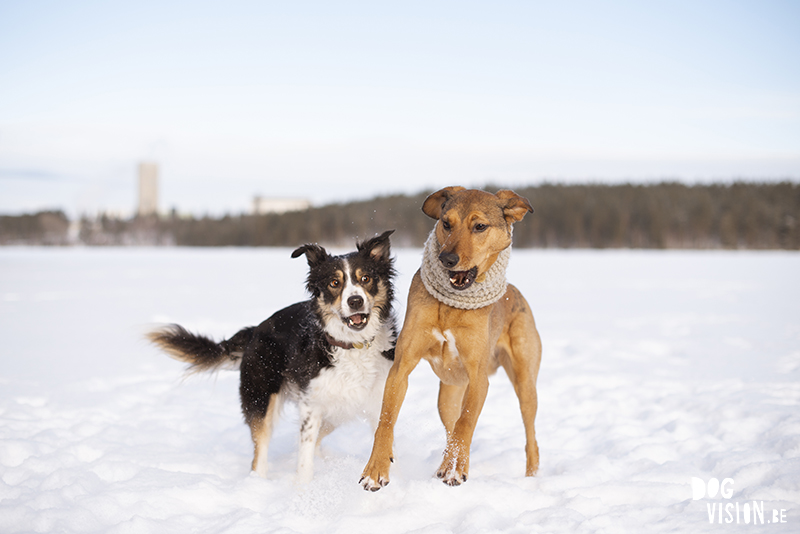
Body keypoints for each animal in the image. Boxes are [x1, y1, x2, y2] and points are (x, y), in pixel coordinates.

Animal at [148, 232, 396, 484]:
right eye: (334, 283)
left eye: (365, 278)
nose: (355, 301)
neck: (354, 346)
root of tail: (255, 330)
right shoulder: (311, 404)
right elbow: (304, 458)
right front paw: (303, 488)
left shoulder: (378, 400)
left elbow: (382, 439)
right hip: (262, 398)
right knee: (260, 452)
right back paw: (258, 483)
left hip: (335, 410)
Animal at [362, 186, 544, 492]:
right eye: (446, 223)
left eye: (480, 226)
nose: (447, 258)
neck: (452, 306)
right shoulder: (402, 367)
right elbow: (386, 419)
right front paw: (376, 468)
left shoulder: (479, 377)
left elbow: (466, 423)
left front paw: (457, 469)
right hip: (447, 394)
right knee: (450, 427)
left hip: (525, 384)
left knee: (530, 438)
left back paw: (531, 480)